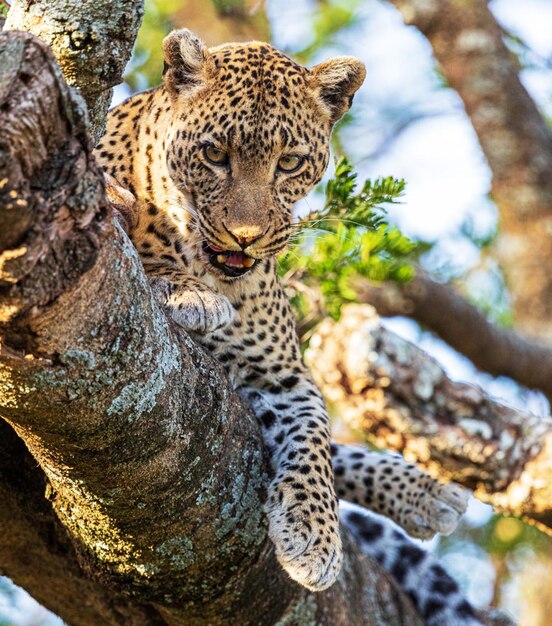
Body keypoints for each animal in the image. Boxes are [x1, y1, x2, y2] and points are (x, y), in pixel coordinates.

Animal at [97, 26, 486, 620]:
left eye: (289, 162)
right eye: (214, 154)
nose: (246, 237)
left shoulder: (280, 373)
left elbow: (315, 437)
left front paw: (315, 536)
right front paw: (185, 289)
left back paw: (424, 490)